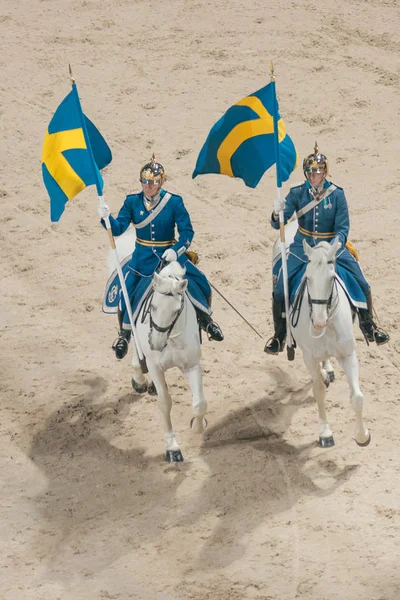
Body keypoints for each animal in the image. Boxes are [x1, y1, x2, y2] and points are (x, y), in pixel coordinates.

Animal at [290, 237, 372, 448]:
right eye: (308, 279)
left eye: (331, 278)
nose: (319, 322)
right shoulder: (309, 358)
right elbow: (318, 390)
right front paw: (325, 433)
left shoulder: (348, 354)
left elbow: (357, 397)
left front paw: (362, 436)